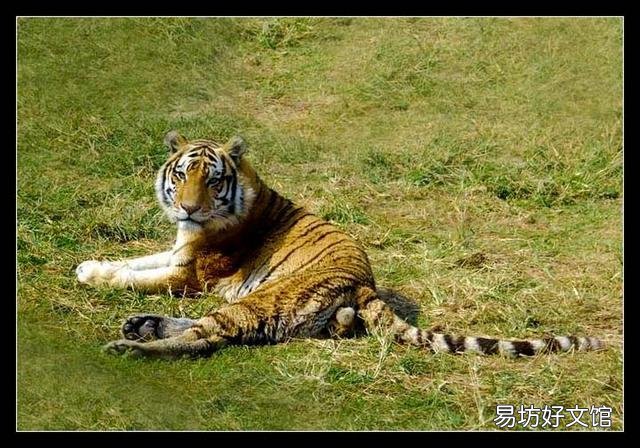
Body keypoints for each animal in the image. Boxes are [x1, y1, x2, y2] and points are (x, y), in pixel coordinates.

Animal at [76, 131, 605, 359]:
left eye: (212, 180)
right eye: (183, 175)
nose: (187, 209)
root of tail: (364, 282)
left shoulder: (192, 270)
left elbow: (138, 277)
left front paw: (95, 275)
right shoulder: (178, 250)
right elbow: (135, 261)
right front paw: (92, 265)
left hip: (268, 295)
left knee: (213, 335)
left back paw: (130, 344)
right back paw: (141, 326)